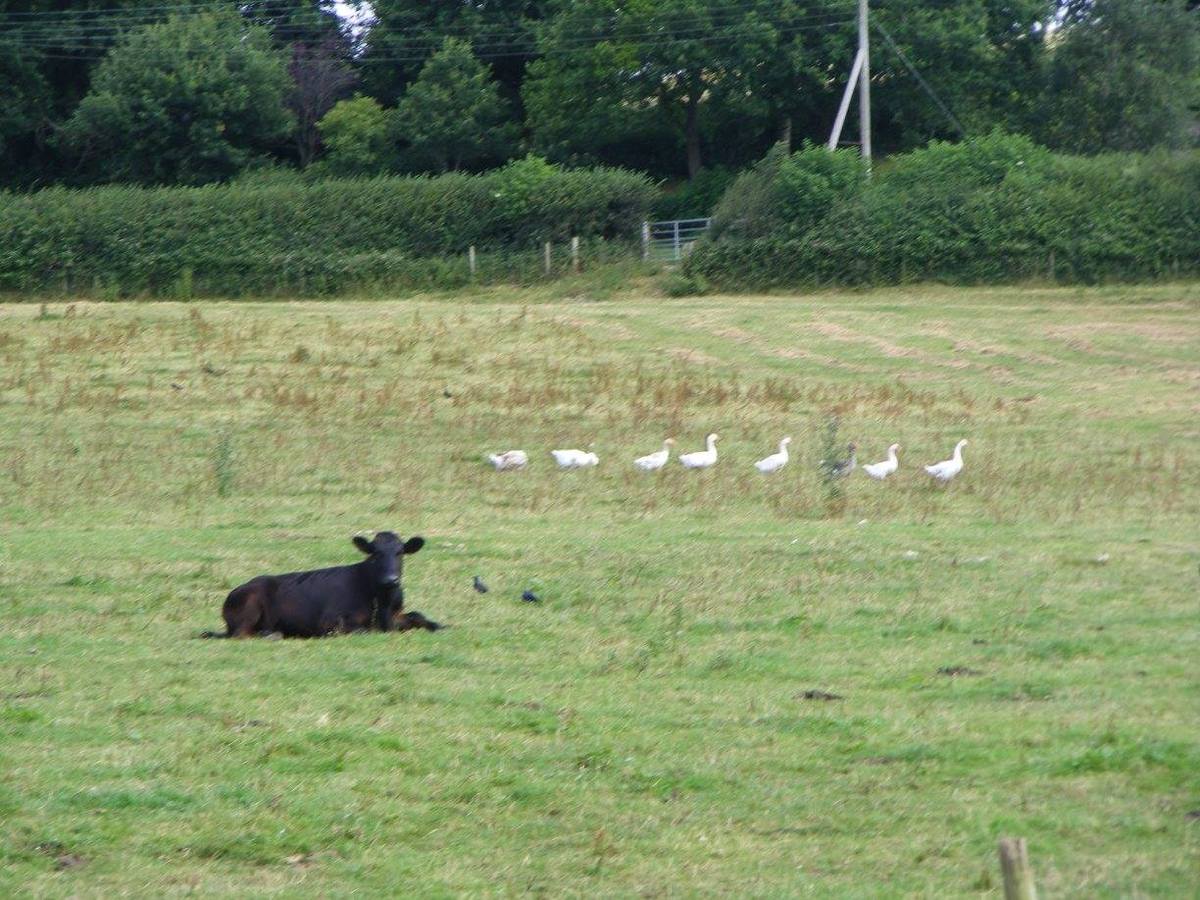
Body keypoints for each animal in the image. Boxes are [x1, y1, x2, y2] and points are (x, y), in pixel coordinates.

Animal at [202, 531, 441, 638]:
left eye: (400, 552)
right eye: (375, 553)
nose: (390, 579)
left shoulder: (396, 615)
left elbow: (418, 615)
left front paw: (438, 625)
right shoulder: (330, 622)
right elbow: (363, 629)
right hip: (250, 606)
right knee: (241, 634)